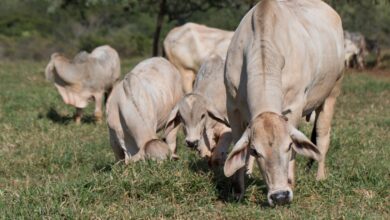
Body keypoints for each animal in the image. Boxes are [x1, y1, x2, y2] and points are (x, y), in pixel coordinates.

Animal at [222, 0, 344, 206]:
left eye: (288, 146)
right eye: (255, 151)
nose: (280, 196)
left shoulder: (294, 107)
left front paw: (291, 181)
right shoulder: (233, 107)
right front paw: (238, 190)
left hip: (331, 94)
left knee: (322, 137)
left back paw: (320, 176)